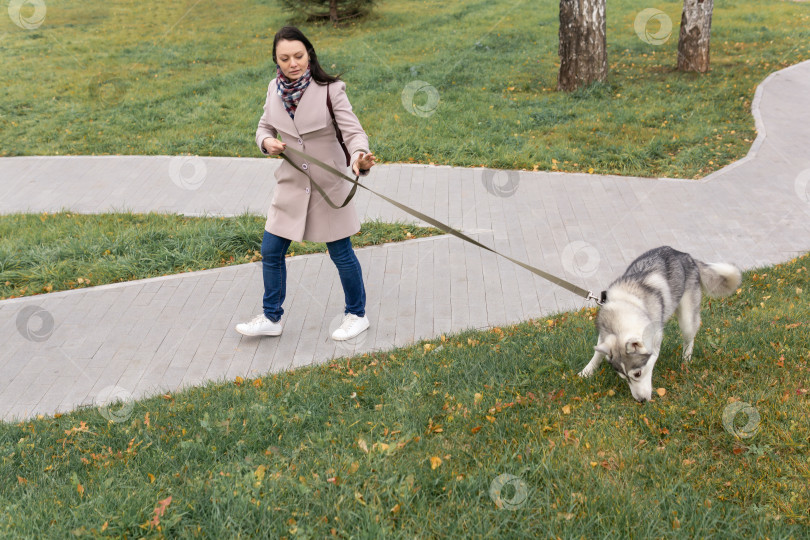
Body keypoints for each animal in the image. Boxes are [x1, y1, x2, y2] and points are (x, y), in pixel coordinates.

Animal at [576, 247, 740, 402]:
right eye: (624, 378)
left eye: (638, 374)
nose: (641, 401)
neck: (626, 307)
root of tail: (685, 255)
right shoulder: (605, 335)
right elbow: (598, 352)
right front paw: (587, 371)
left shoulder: (654, 339)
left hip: (687, 319)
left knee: (689, 338)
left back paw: (686, 360)